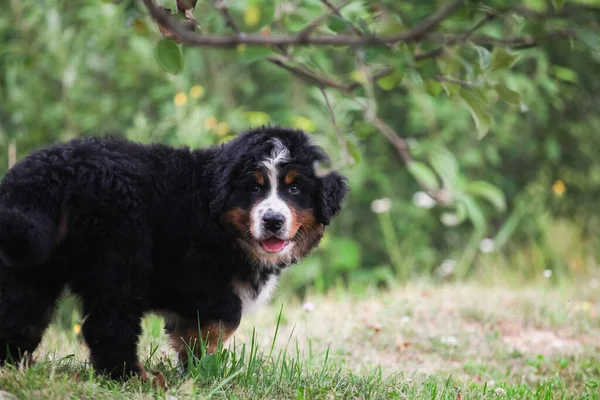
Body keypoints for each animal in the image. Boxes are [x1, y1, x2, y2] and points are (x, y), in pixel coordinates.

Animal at [0, 126, 346, 380]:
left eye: (295, 189)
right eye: (255, 188)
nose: (272, 221)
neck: (213, 211)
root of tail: (57, 167)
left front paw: (195, 367)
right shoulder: (195, 276)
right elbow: (225, 316)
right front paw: (204, 369)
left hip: (31, 262)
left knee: (20, 312)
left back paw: (14, 367)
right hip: (121, 256)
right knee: (108, 323)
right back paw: (132, 377)